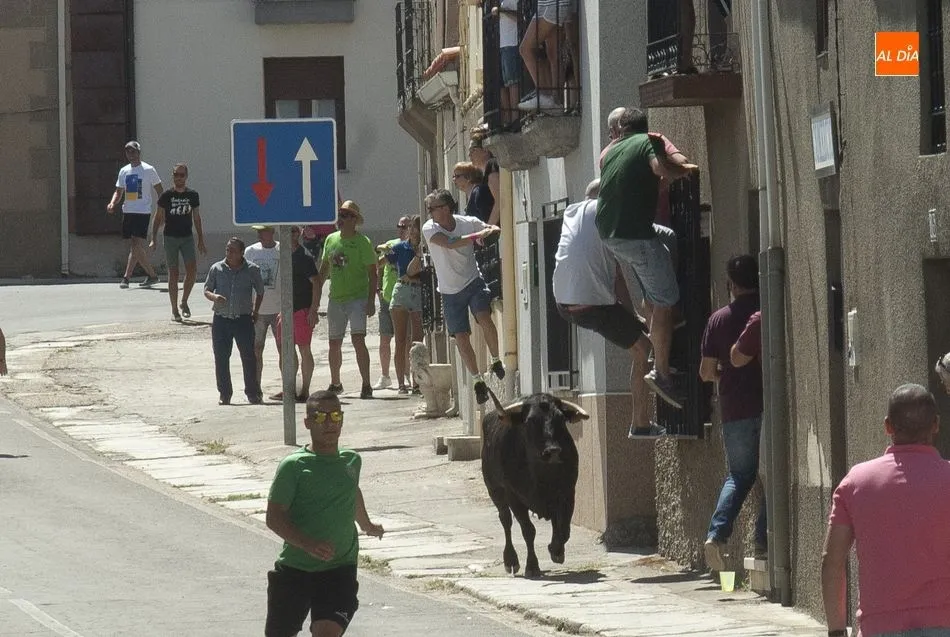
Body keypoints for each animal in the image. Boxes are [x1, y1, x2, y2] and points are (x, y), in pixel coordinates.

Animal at [481, 387, 589, 578]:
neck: (541, 474)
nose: (553, 451)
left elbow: (563, 529)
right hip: (494, 490)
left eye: (561, 419)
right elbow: (528, 530)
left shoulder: (567, 493)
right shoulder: (514, 496)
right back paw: (510, 561)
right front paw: (532, 566)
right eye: (530, 421)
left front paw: (556, 550)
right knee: (506, 520)